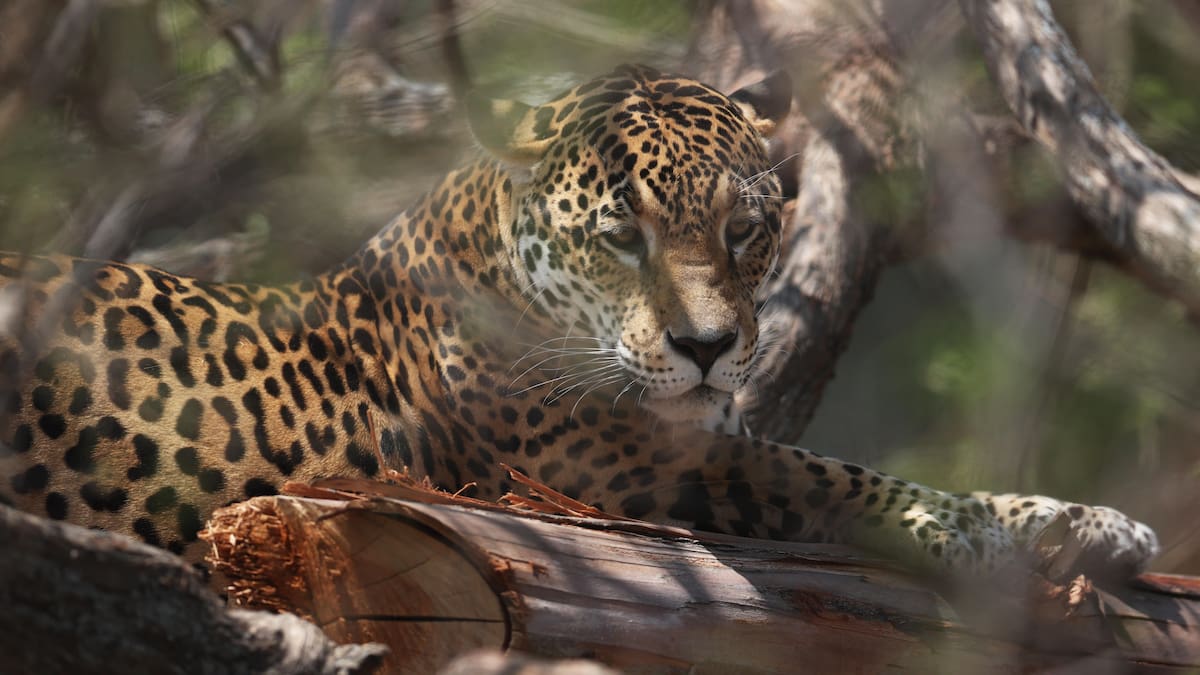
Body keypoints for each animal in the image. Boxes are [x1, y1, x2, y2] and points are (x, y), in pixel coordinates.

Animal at [0, 64, 1157, 579]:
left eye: (746, 231)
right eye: (622, 237)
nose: (707, 348)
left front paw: (1084, 522)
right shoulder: (618, 464)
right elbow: (828, 473)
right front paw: (991, 530)